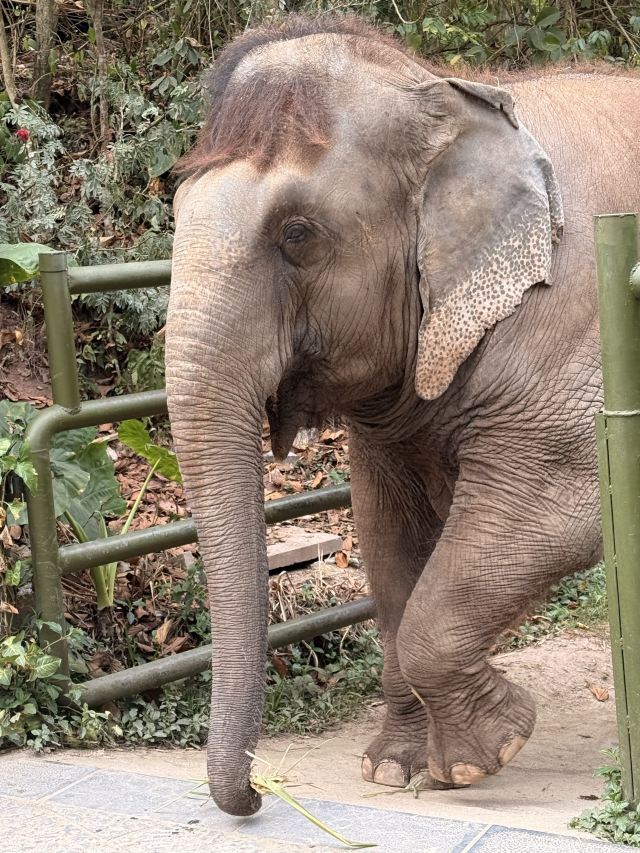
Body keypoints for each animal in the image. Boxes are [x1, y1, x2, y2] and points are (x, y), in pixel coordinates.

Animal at [165, 13, 640, 817]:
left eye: (296, 233)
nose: (257, 795)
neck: (439, 88)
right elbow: (386, 536)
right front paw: (395, 770)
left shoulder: (572, 336)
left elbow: (559, 511)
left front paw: (485, 756)